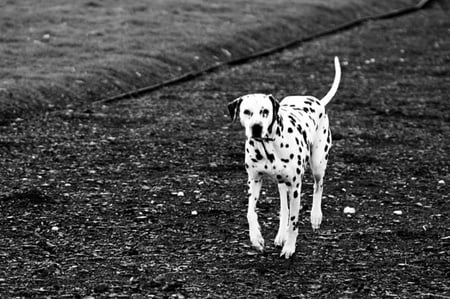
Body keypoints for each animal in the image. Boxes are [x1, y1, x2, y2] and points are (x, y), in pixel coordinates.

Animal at [229, 57, 342, 258]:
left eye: (265, 111)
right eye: (246, 111)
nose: (256, 127)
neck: (268, 148)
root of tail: (317, 101)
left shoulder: (296, 185)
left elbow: (294, 220)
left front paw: (290, 247)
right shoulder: (254, 180)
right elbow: (250, 212)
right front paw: (256, 239)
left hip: (318, 163)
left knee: (318, 185)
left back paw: (315, 216)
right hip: (282, 184)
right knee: (284, 208)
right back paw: (280, 234)